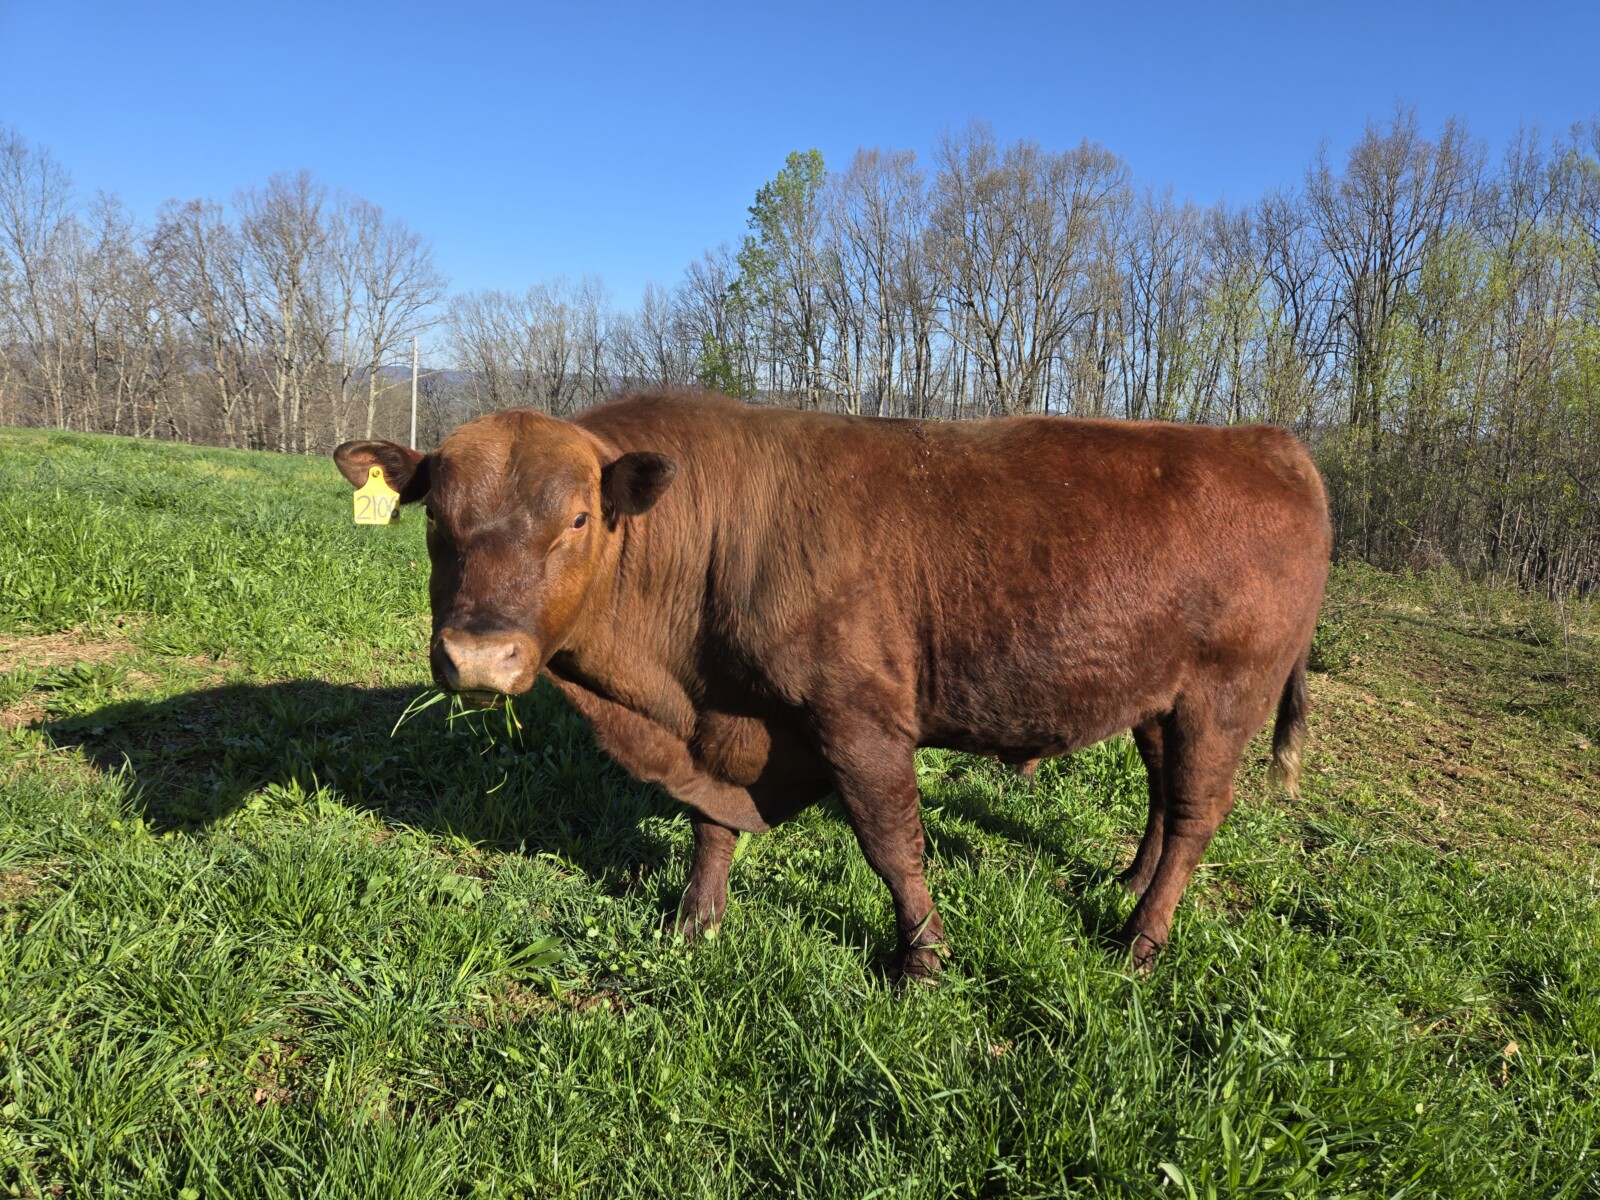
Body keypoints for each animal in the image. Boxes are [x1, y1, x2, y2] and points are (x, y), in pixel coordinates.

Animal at [334, 392, 1330, 977]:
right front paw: (695, 923)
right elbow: (710, 827)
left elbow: (894, 845)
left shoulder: (858, 715)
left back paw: (1139, 942)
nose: (478, 657)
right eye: (436, 519)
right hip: (1155, 699)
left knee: (1197, 813)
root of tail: (1269, 442)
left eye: (578, 518)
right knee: (1164, 796)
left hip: (1221, 697)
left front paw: (923, 962)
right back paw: (1127, 882)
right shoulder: (724, 722)